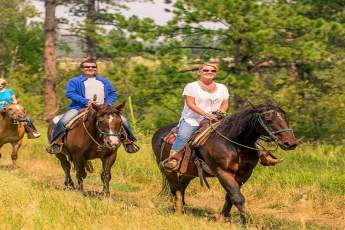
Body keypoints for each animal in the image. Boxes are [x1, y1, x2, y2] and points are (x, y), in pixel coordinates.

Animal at [151, 102, 298, 225]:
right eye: (268, 120)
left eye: (286, 118)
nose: (290, 143)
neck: (234, 143)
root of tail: (158, 133)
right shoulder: (223, 172)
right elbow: (237, 197)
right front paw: (246, 222)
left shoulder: (244, 174)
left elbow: (230, 196)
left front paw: (223, 217)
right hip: (168, 170)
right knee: (175, 188)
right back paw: (177, 211)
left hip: (190, 171)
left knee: (181, 185)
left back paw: (181, 208)